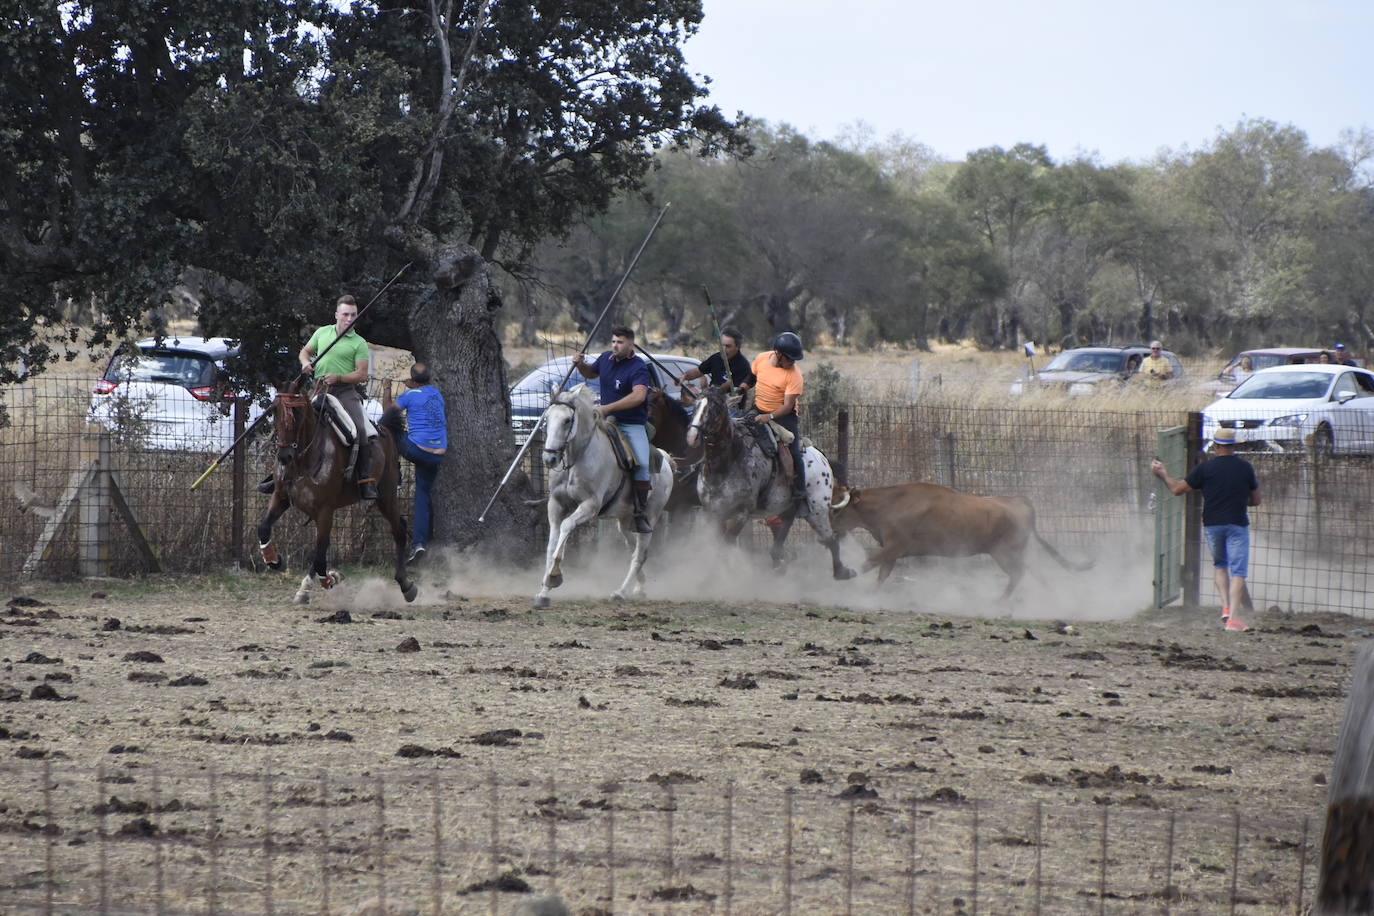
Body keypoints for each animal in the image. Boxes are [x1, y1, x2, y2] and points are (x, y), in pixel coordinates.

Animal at [252, 381, 412, 609]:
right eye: (274, 410)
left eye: (297, 412)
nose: (284, 456)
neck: (303, 461)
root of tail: (385, 431)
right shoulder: (281, 497)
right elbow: (264, 528)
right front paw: (274, 559)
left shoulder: (325, 510)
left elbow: (320, 557)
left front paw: (331, 578)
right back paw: (304, 590)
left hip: (386, 496)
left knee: (399, 530)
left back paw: (406, 586)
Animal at [530, 384, 676, 609]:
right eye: (547, 418)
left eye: (567, 420)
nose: (549, 458)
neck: (577, 460)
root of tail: (666, 459)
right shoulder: (555, 505)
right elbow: (551, 544)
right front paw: (543, 592)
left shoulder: (590, 506)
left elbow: (566, 526)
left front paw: (554, 576)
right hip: (624, 521)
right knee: (633, 547)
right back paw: (639, 585)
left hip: (651, 516)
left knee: (640, 554)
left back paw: (621, 592)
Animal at [692, 390, 851, 579]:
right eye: (695, 405)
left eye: (715, 408)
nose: (693, 435)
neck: (727, 461)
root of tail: (823, 459)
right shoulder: (712, 513)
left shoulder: (740, 514)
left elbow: (725, 546)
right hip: (788, 509)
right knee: (782, 536)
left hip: (817, 510)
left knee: (831, 539)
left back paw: (842, 572)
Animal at [829, 483, 1088, 598]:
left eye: (838, 510)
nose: (829, 526)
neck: (890, 504)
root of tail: (1018, 501)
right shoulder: (892, 551)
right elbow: (882, 574)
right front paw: (870, 593)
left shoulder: (895, 546)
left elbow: (868, 564)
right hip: (1016, 552)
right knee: (1035, 572)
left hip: (1004, 552)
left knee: (1018, 573)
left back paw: (1000, 600)